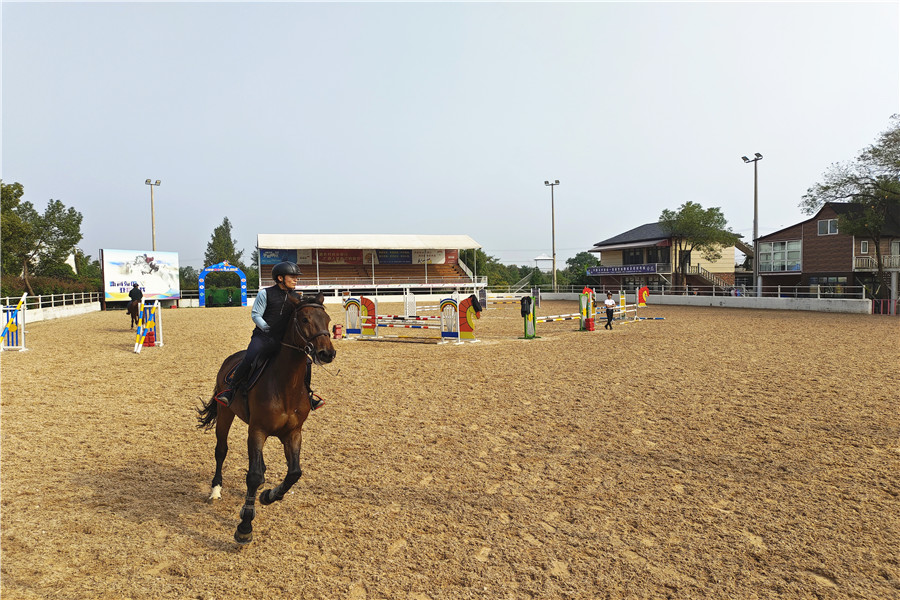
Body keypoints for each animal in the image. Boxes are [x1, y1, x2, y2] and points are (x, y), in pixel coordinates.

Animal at [196, 291, 336, 545]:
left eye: (327, 319)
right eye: (304, 319)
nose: (327, 353)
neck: (286, 384)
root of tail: (231, 358)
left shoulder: (292, 433)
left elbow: (294, 473)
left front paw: (269, 495)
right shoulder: (257, 430)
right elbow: (252, 476)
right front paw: (244, 526)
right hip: (225, 413)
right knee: (221, 450)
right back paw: (216, 490)